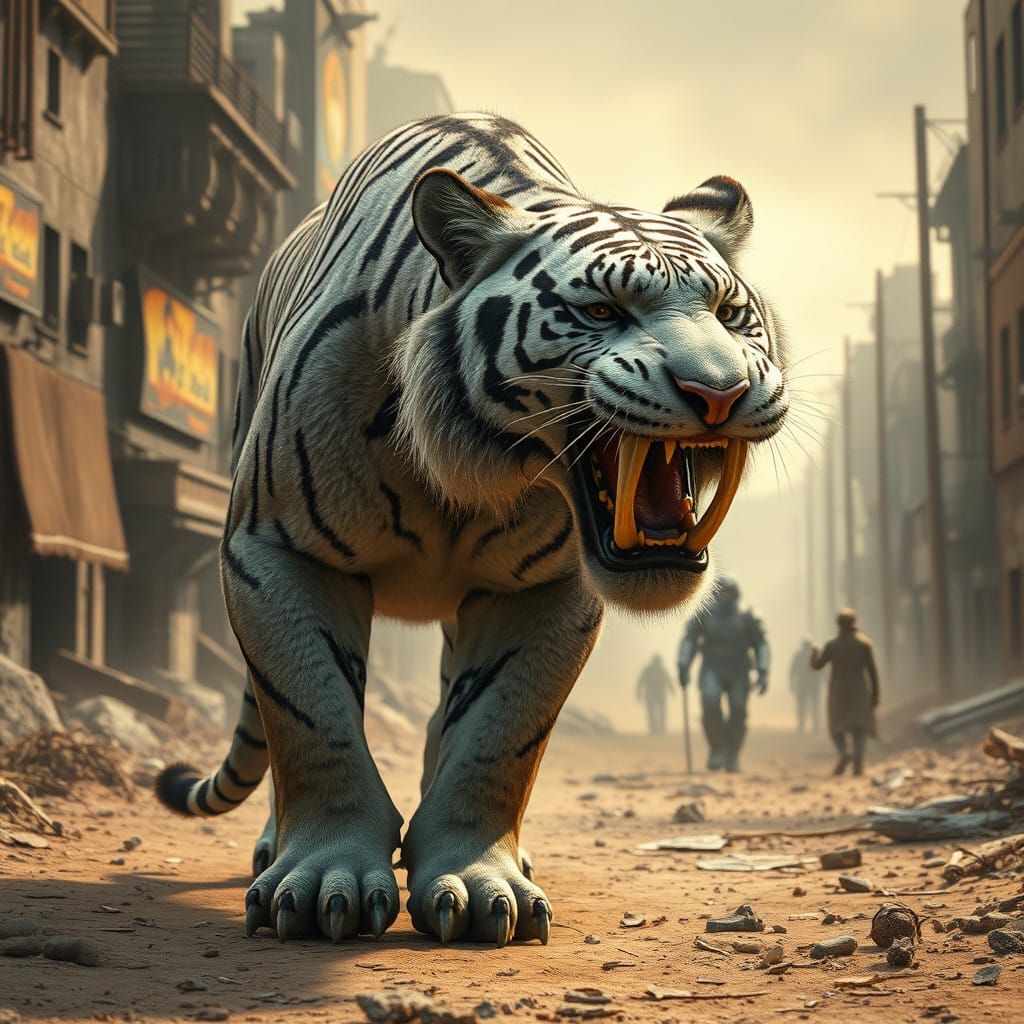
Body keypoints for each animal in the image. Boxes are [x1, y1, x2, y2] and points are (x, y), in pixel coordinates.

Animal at [156, 113, 789, 948]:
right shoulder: (276, 547)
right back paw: (273, 847)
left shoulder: (542, 588)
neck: (462, 476)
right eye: (601, 311)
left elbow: (497, 734)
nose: (721, 393)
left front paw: (477, 881)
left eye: (727, 314)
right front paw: (324, 881)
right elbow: (313, 716)